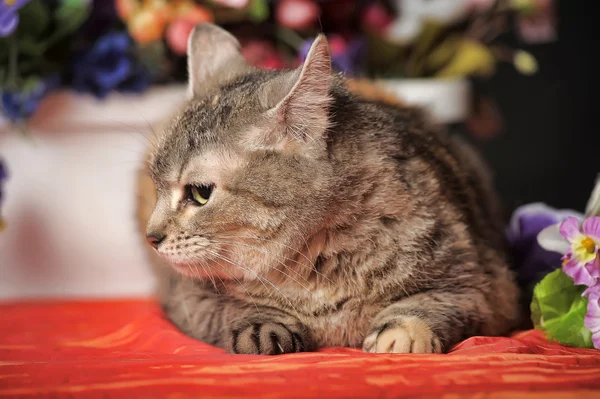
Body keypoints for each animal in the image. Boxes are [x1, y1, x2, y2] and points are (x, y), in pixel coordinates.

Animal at [136, 23, 520, 354]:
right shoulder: (184, 298)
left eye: (200, 192)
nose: (151, 237)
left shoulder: (484, 283)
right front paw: (261, 325)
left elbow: (431, 303)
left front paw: (402, 333)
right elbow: (231, 309)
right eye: (157, 184)